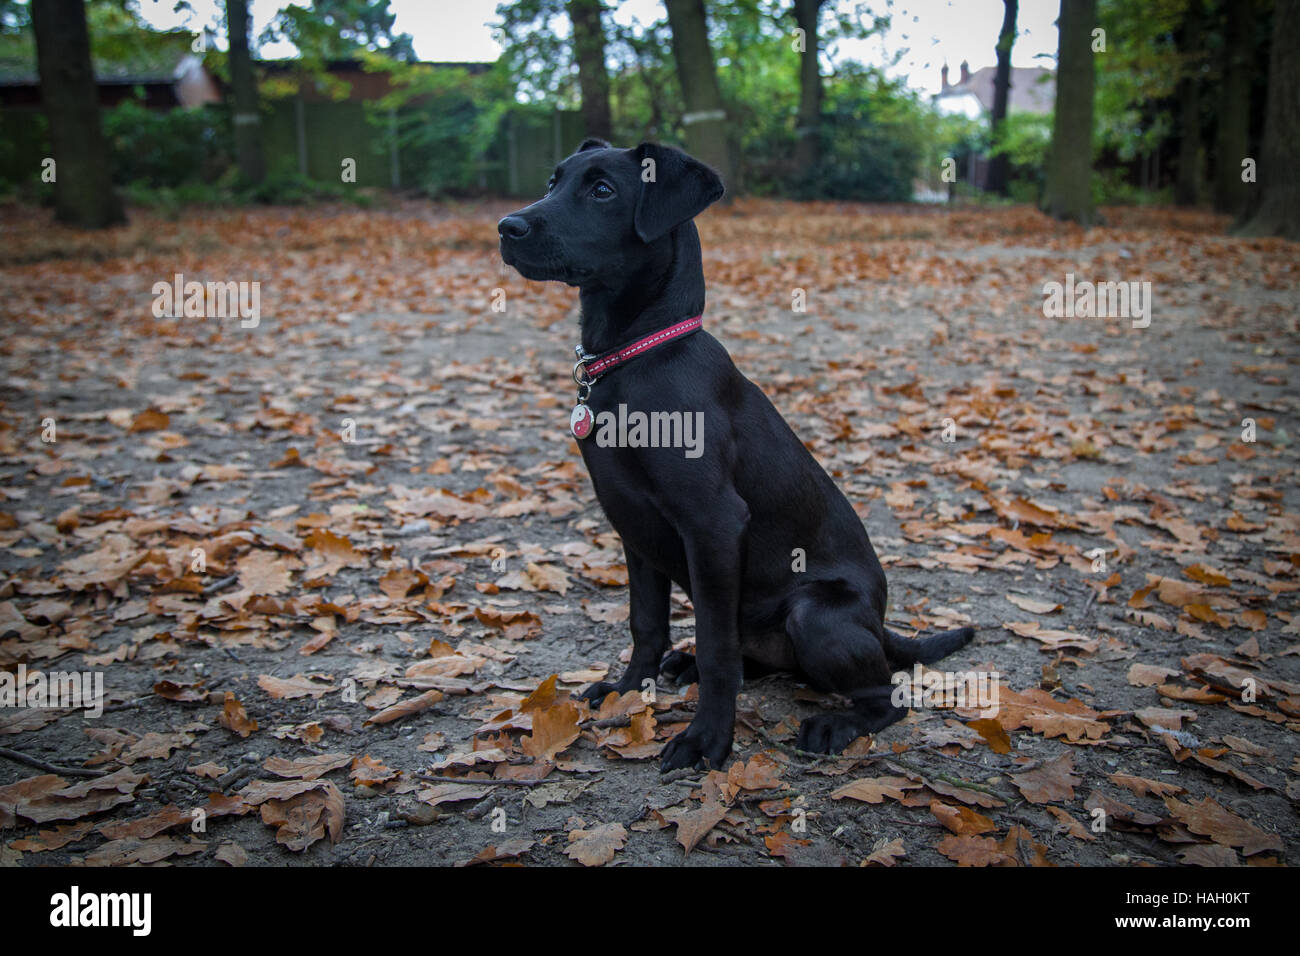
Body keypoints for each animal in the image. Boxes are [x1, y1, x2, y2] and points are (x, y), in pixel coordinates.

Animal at [501, 140, 972, 770]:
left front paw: (707, 740)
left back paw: (835, 725)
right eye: (553, 181)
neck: (636, 359)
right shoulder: (633, 525)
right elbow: (645, 623)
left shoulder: (714, 523)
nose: (507, 227)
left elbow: (718, 647)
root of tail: (880, 624)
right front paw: (629, 692)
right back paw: (684, 666)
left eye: (602, 191)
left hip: (814, 614)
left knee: (888, 695)